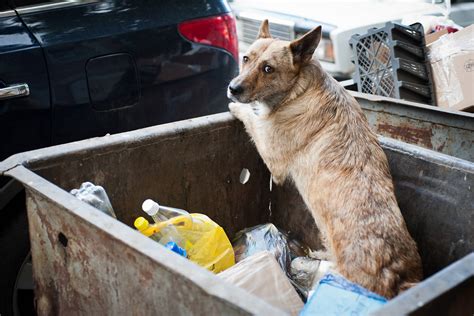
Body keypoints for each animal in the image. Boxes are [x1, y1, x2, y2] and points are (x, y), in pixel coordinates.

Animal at [229, 20, 422, 298]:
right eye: (246, 58)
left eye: (268, 69)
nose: (232, 89)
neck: (298, 89)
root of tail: (397, 275)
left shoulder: (271, 155)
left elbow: (252, 117)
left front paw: (237, 108)